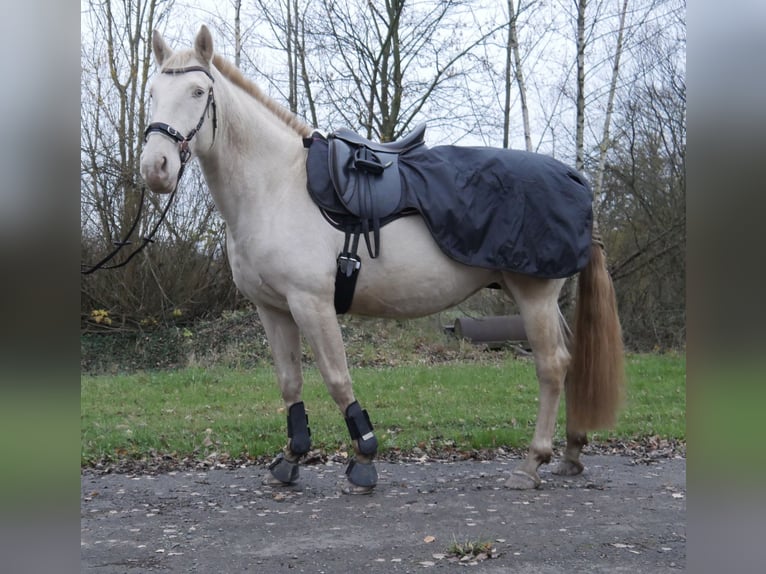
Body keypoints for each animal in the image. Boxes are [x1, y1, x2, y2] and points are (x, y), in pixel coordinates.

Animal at [141, 24, 628, 496]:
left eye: (198, 93)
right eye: (151, 92)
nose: (155, 168)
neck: (276, 186)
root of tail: (575, 178)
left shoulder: (311, 303)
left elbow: (337, 378)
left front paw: (363, 458)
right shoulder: (273, 309)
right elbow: (290, 382)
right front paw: (292, 456)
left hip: (535, 297)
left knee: (552, 366)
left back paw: (532, 463)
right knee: (570, 362)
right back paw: (571, 452)